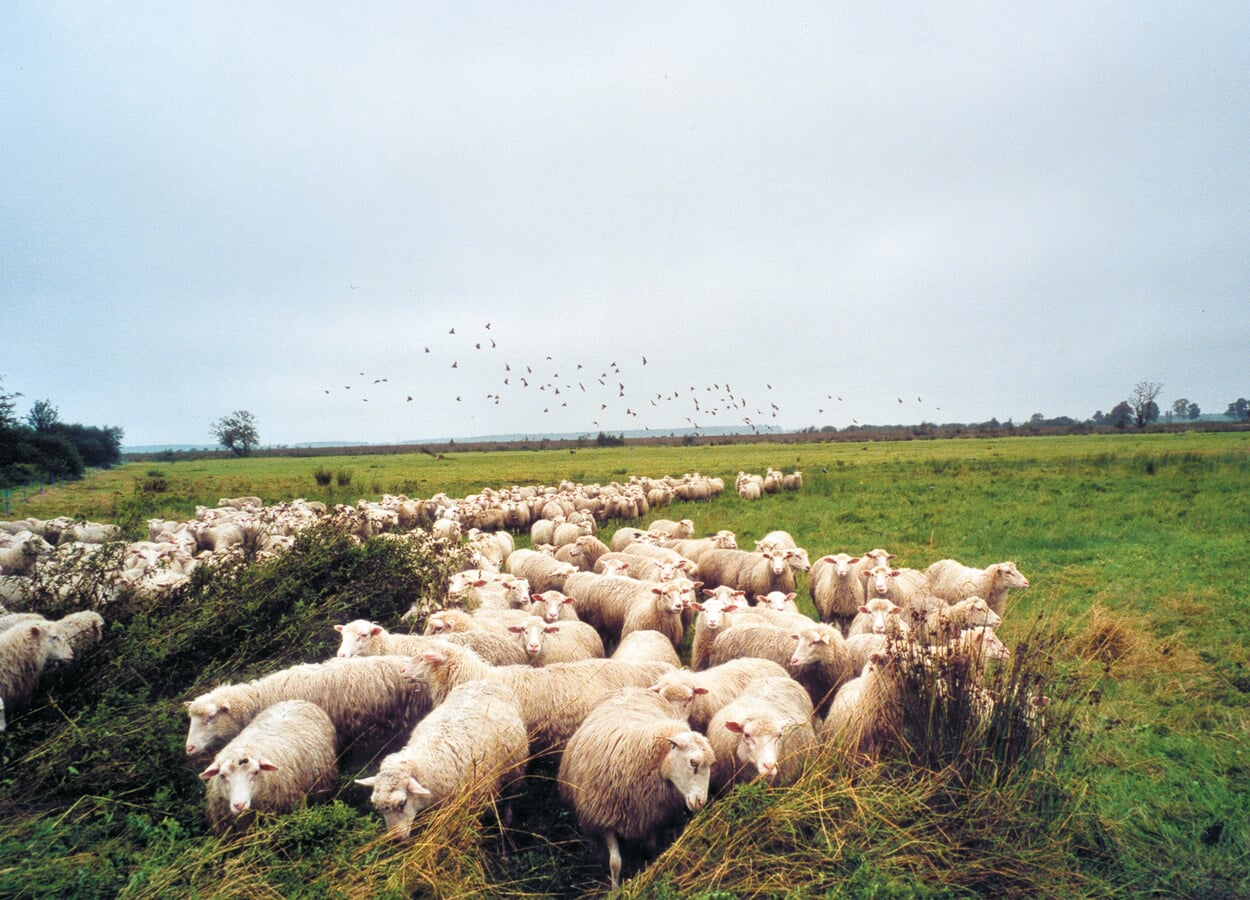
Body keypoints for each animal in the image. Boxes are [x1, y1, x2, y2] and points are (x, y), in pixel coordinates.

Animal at [357, 680, 527, 845]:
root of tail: (486, 681)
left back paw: (507, 820)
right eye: (378, 807)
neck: (427, 760)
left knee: (510, 795)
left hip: (514, 766)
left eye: (402, 803)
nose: (395, 840)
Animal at [557, 685, 715, 890]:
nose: (701, 801)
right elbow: (615, 862)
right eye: (693, 762)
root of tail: (630, 689)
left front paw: (648, 867)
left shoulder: (651, 814)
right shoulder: (603, 816)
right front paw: (615, 890)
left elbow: (651, 848)